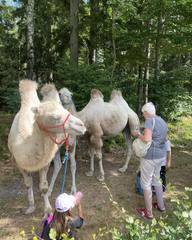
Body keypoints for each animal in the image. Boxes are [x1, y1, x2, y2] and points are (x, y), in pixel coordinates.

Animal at [7, 79, 85, 217]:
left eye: (63, 110)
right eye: (54, 117)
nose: (82, 125)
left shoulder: (44, 162)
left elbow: (42, 186)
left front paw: (47, 210)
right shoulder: (19, 162)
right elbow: (28, 184)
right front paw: (31, 207)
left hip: (71, 142)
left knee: (73, 163)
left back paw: (72, 189)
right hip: (55, 148)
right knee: (58, 164)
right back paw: (50, 191)